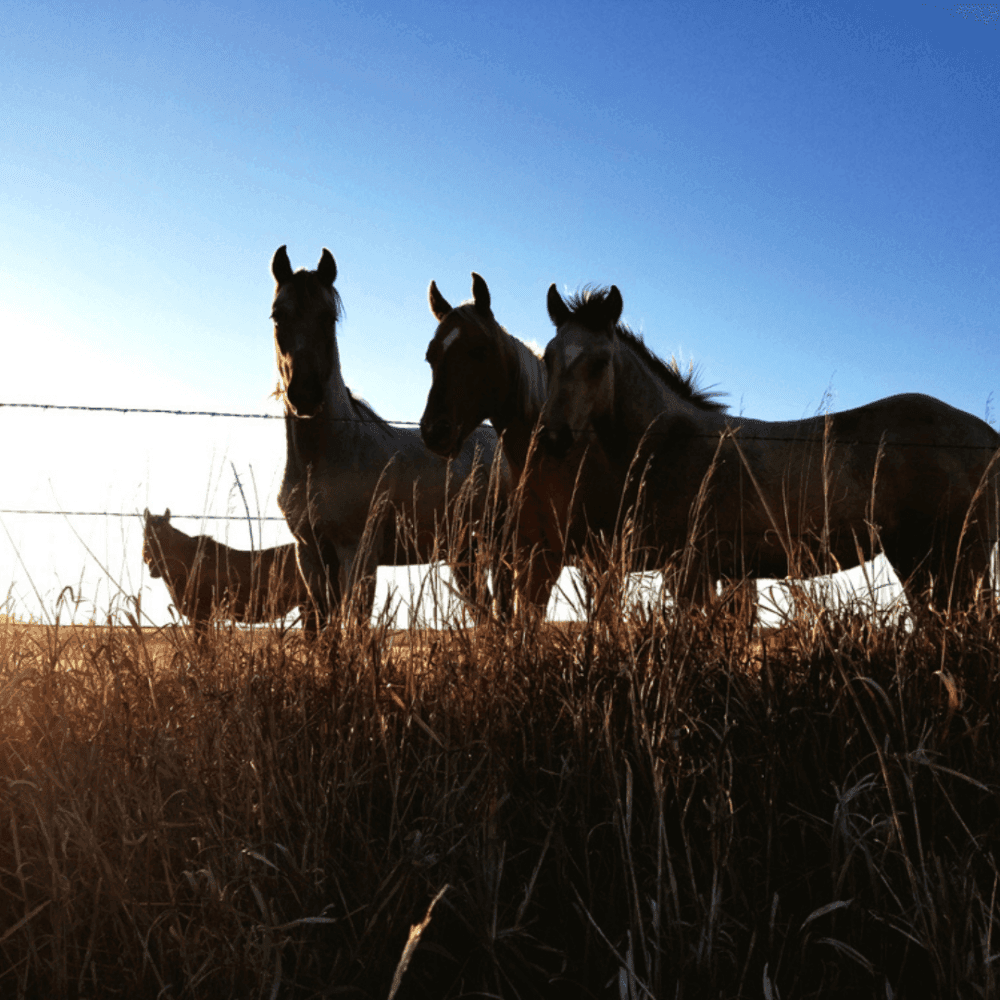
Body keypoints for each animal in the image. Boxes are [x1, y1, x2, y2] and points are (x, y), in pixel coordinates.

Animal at [271, 246, 507, 626]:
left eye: (329, 318)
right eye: (278, 316)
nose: (305, 394)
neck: (324, 457)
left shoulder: (358, 553)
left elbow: (356, 626)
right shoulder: (310, 556)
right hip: (465, 555)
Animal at [539, 285, 1000, 616]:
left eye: (600, 363)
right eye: (548, 358)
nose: (554, 438)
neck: (672, 443)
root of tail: (987, 435)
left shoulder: (689, 569)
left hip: (961, 556)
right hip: (917, 558)